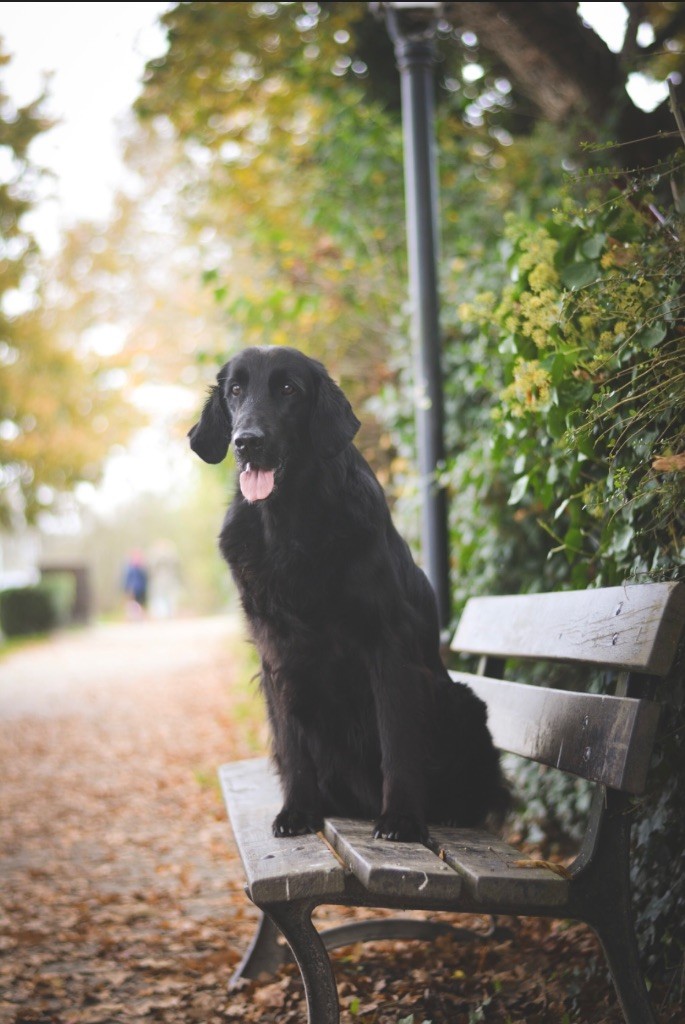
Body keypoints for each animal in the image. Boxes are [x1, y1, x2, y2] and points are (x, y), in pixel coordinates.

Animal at [187, 348, 507, 843]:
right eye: (235, 390)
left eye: (288, 389)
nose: (246, 442)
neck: (289, 524)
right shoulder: (275, 654)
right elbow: (292, 747)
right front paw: (297, 811)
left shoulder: (389, 647)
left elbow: (397, 741)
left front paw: (401, 819)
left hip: (463, 702)